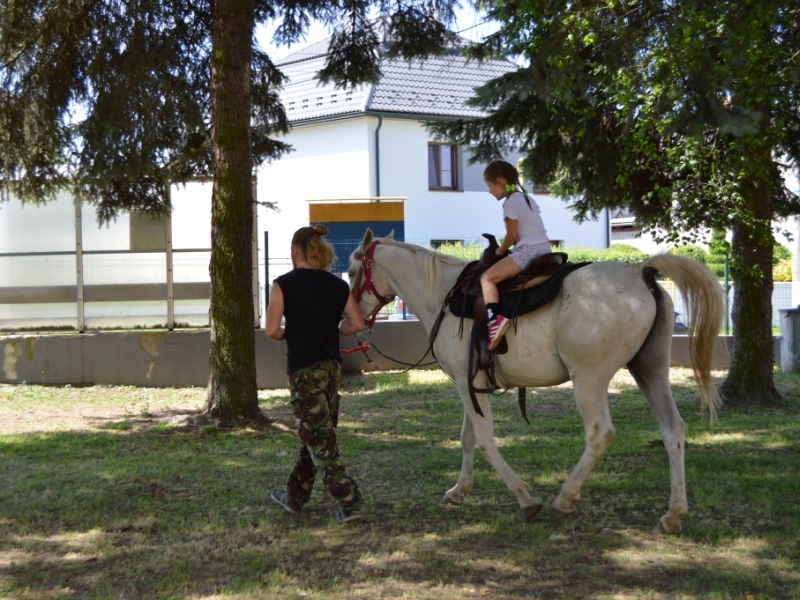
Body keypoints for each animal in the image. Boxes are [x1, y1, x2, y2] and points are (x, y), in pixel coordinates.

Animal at [346, 230, 720, 536]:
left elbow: (484, 441)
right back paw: (673, 514)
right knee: (673, 429)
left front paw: (526, 500)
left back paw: (564, 499)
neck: (442, 294)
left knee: (600, 433)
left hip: (589, 379)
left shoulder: (468, 387)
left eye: (351, 271)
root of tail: (638, 271)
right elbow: (468, 438)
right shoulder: (468, 385)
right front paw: (458, 490)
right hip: (650, 370)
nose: (346, 322)